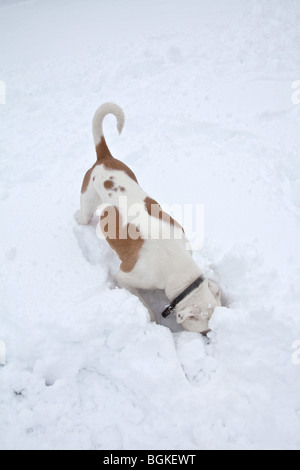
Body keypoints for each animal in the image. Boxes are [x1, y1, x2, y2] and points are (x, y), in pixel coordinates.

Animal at [78, 102, 221, 334]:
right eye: (205, 332)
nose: (211, 338)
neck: (180, 271)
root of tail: (104, 159)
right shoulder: (126, 277)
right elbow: (147, 308)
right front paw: (152, 320)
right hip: (87, 203)